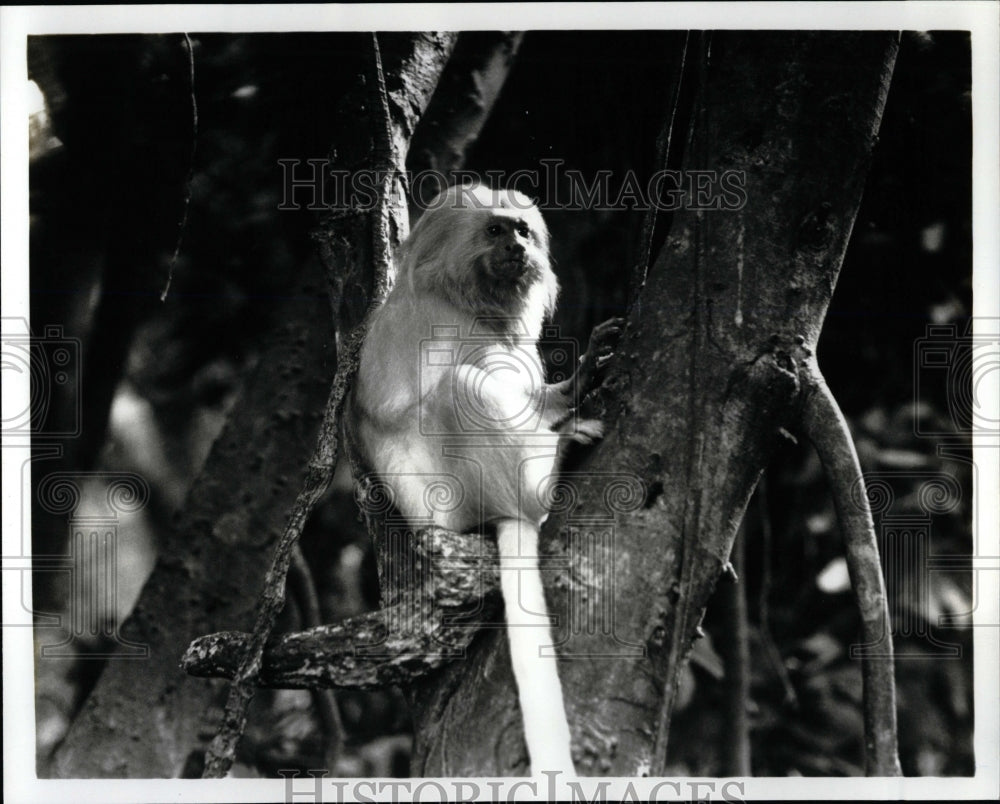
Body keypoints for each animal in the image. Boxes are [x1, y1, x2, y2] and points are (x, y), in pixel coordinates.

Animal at [352, 185, 612, 776]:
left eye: (522, 230)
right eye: (495, 231)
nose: (516, 247)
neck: (471, 302)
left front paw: (570, 387)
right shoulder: (440, 323)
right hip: (452, 500)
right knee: (460, 388)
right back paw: (544, 480)